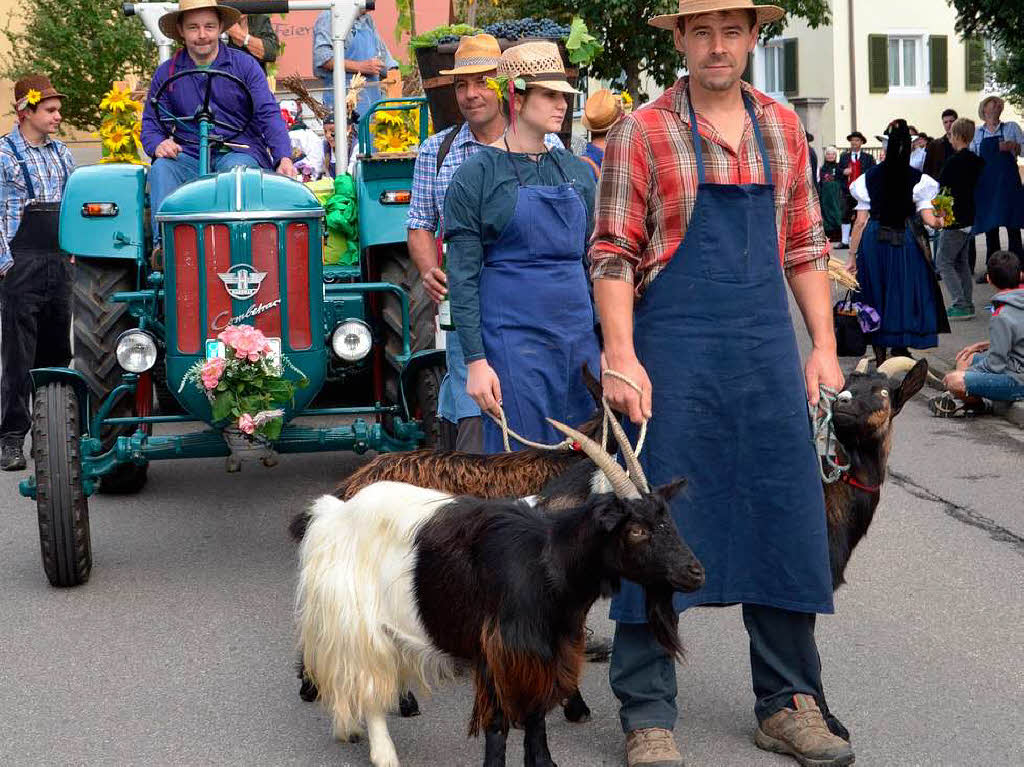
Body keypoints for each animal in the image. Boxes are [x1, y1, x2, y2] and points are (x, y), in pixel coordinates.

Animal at [299, 419, 704, 765]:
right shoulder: (498, 651)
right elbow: (497, 724)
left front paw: (547, 758)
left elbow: (536, 718)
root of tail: (335, 509)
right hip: (354, 615)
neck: (546, 555)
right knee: (365, 680)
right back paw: (380, 749)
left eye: (667, 518)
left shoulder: (544, 650)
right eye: (635, 530)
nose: (695, 573)